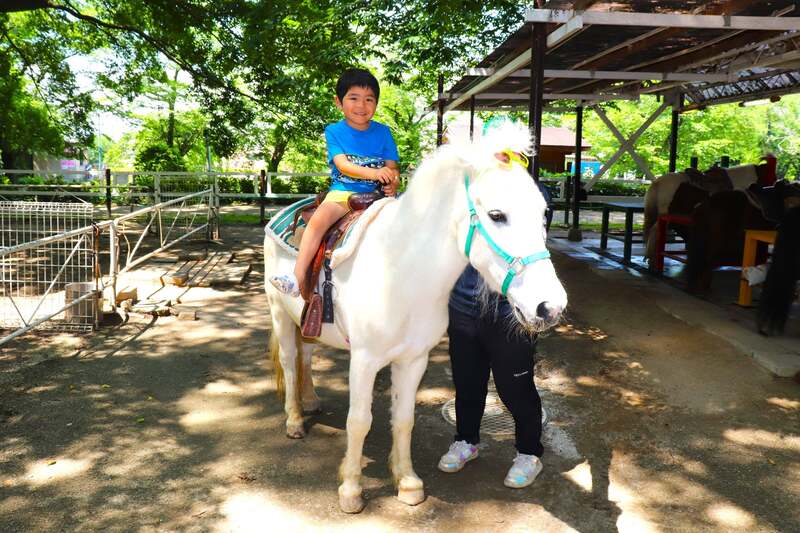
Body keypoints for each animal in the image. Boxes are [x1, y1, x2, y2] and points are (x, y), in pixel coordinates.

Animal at [263, 122, 567, 513]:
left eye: (544, 213)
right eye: (497, 215)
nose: (550, 306)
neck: (400, 268)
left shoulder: (413, 359)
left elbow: (404, 419)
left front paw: (407, 482)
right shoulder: (364, 359)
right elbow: (358, 421)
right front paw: (351, 490)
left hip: (307, 323)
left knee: (305, 356)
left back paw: (311, 400)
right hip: (279, 312)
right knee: (289, 361)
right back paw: (295, 420)